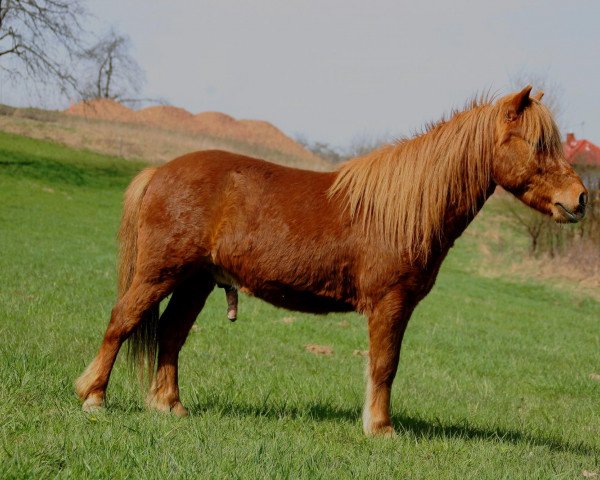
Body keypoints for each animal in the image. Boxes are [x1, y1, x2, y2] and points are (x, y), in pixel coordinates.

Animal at [75, 86, 584, 436]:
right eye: (537, 144)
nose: (579, 199)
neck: (399, 209)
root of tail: (159, 172)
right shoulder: (390, 304)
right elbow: (385, 365)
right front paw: (380, 428)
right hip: (160, 274)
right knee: (123, 321)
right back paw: (93, 396)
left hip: (195, 281)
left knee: (170, 334)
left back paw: (169, 405)